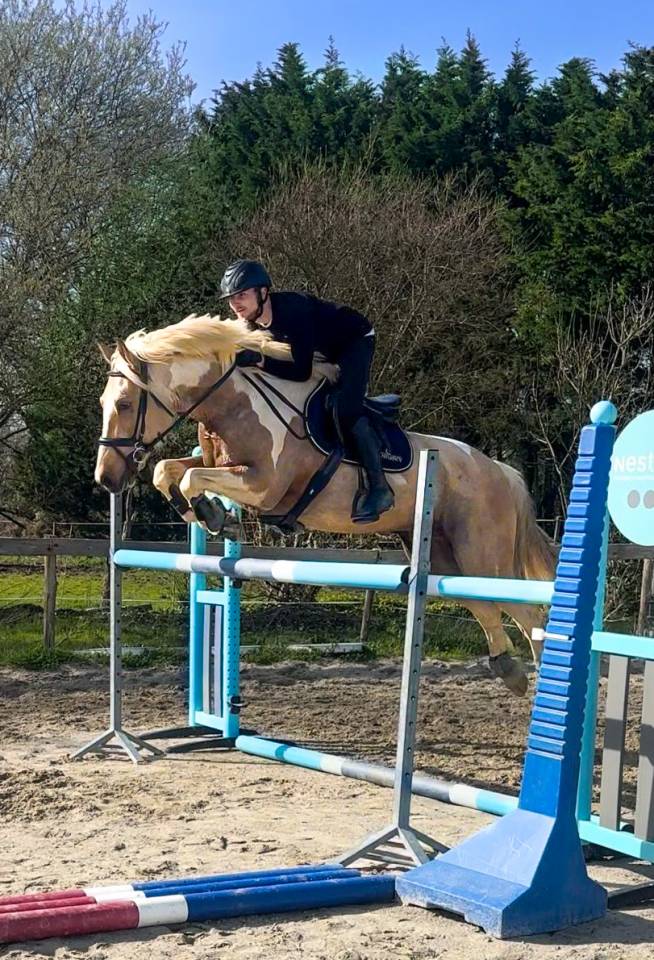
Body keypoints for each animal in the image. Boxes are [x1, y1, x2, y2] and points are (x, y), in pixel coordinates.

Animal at [95, 313, 556, 696]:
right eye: (104, 404)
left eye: (124, 404)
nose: (106, 478)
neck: (234, 404)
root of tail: (499, 469)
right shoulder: (220, 466)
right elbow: (168, 470)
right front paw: (208, 515)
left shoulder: (262, 485)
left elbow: (189, 476)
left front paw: (214, 515)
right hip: (443, 560)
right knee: (484, 606)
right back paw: (509, 671)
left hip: (482, 556)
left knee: (529, 616)